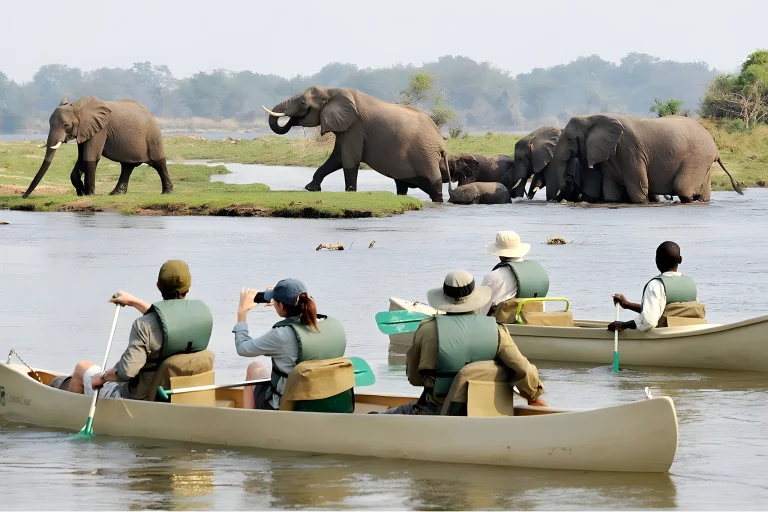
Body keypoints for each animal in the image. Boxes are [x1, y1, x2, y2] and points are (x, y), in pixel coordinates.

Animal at [532, 114, 740, 204]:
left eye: (569, 138)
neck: (593, 117)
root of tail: (715, 147)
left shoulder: (630, 151)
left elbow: (638, 187)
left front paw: (642, 203)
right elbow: (611, 191)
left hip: (696, 158)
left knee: (683, 189)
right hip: (703, 163)